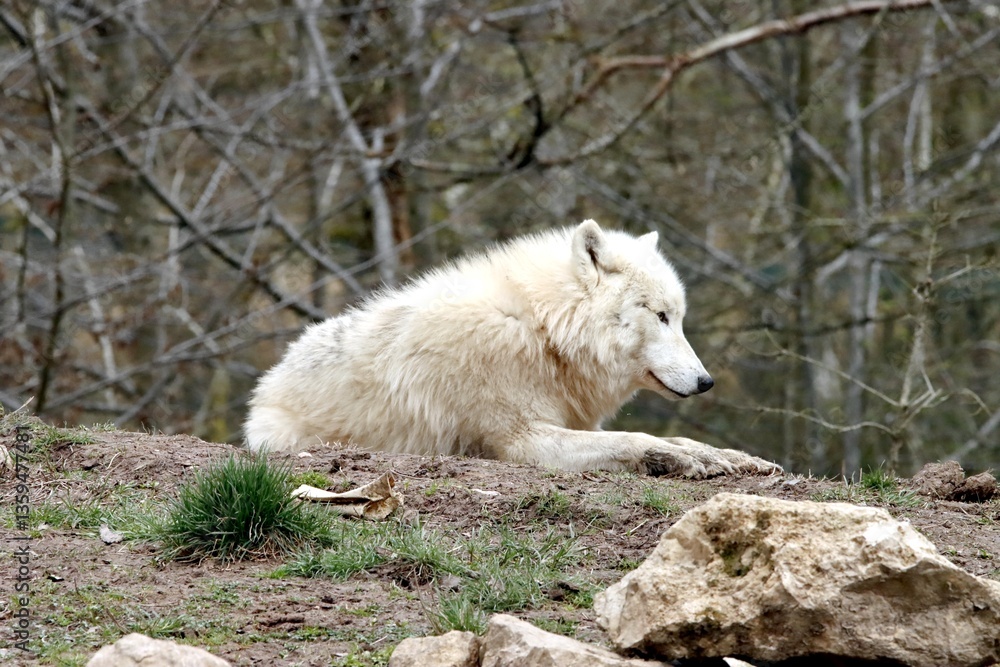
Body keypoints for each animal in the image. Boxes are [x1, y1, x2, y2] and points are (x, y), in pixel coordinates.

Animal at [244, 220, 780, 477]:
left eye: (679, 317)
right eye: (662, 316)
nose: (707, 382)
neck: (543, 332)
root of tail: (268, 382)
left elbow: (681, 439)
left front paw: (732, 458)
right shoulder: (522, 441)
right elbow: (635, 439)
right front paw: (679, 461)